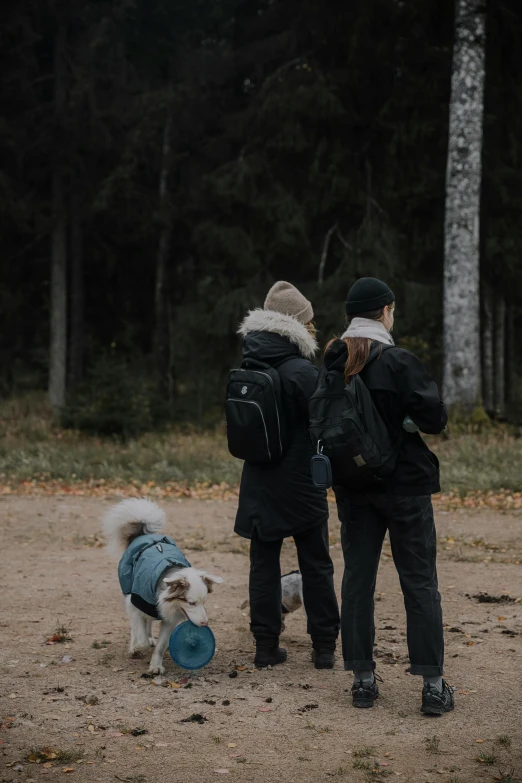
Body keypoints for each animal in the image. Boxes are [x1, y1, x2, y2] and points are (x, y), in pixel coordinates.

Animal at [102, 502, 222, 672]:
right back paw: (134, 645)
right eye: (191, 603)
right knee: (136, 623)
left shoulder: (169, 619)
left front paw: (155, 665)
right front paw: (138, 646)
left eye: (204, 602)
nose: (205, 623)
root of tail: (141, 534)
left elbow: (161, 645)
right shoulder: (135, 602)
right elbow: (141, 638)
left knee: (148, 620)